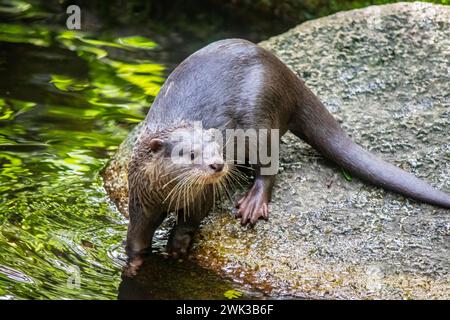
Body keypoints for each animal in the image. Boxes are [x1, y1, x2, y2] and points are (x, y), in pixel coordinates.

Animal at [126, 38, 450, 258]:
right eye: (190, 154)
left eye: (217, 146)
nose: (218, 165)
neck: (165, 193)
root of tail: (286, 74)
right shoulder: (140, 196)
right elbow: (138, 234)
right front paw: (134, 260)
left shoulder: (202, 195)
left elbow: (190, 221)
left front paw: (177, 248)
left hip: (262, 118)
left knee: (270, 167)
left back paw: (253, 202)